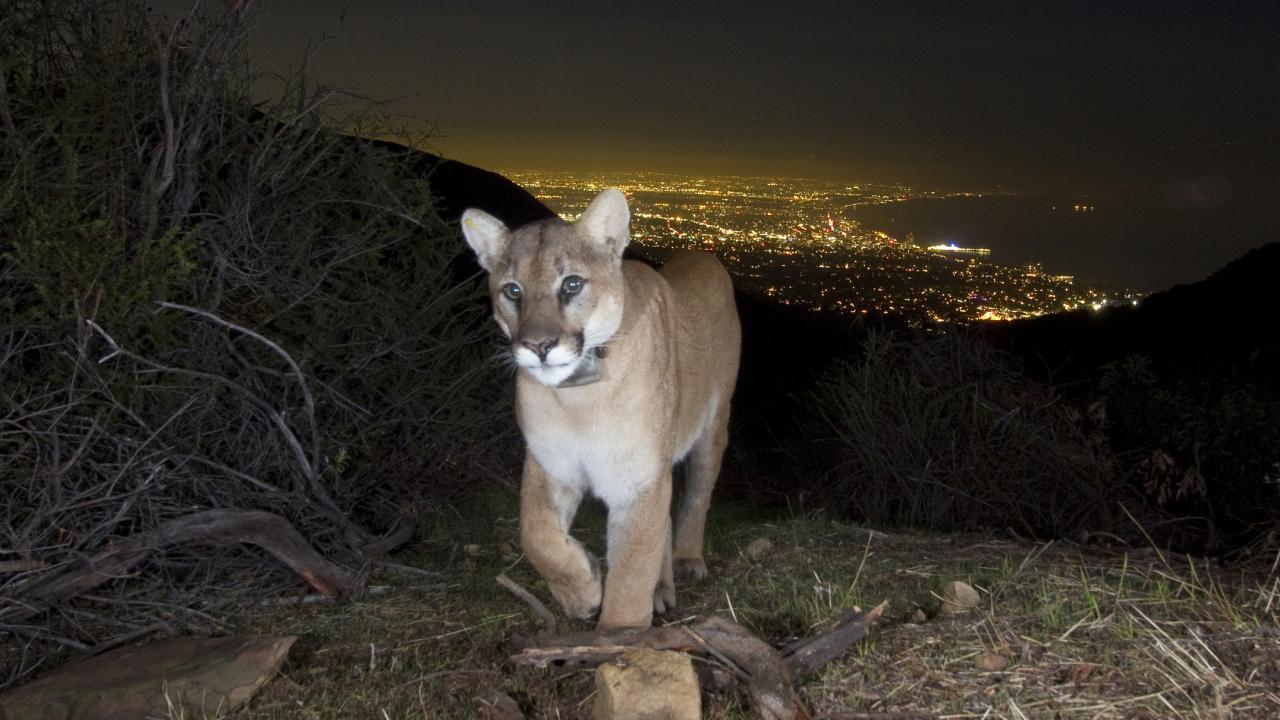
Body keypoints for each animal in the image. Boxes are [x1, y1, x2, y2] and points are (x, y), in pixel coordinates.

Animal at [460, 188, 742, 625]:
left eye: (572, 284)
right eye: (513, 291)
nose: (539, 346)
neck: (579, 398)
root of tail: (702, 254)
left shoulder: (637, 478)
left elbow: (630, 576)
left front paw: (619, 632)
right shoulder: (551, 461)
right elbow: (534, 533)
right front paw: (582, 589)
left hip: (713, 428)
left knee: (696, 496)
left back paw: (686, 561)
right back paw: (660, 587)